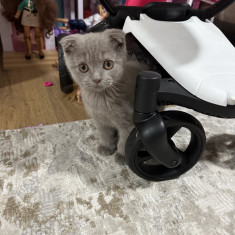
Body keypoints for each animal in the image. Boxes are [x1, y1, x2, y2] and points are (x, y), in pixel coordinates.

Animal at [60, 29, 147, 158]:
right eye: (83, 67)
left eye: (108, 64)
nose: (97, 79)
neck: (101, 100)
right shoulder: (99, 120)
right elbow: (105, 134)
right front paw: (106, 147)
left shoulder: (129, 121)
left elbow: (125, 139)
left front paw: (121, 155)